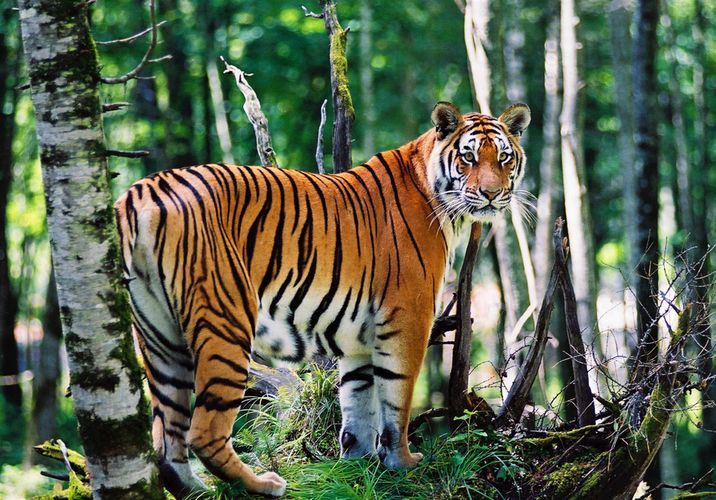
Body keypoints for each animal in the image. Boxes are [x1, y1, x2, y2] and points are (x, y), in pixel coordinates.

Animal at [114, 101, 531, 497]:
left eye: (504, 158)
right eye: (469, 157)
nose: (492, 194)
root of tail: (143, 190)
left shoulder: (360, 336)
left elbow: (358, 398)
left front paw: (357, 464)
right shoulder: (408, 316)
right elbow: (396, 396)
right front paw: (403, 462)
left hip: (160, 337)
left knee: (166, 439)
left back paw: (194, 490)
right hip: (225, 320)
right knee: (204, 431)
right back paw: (263, 485)